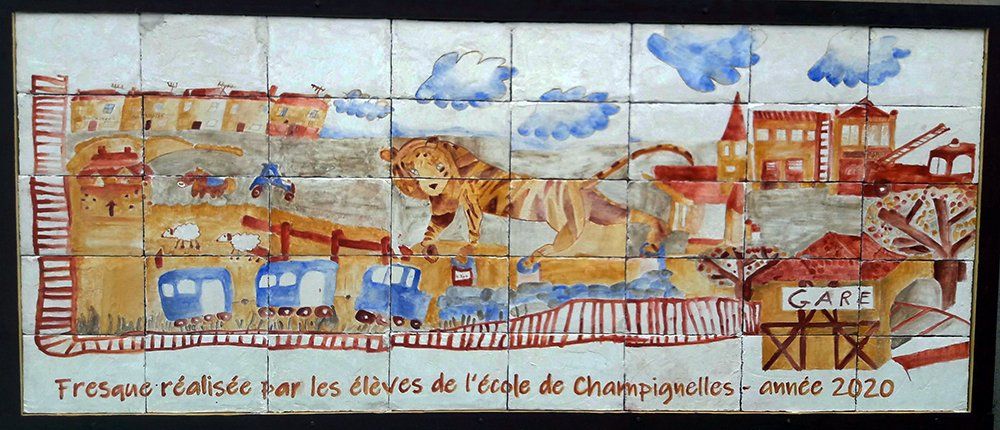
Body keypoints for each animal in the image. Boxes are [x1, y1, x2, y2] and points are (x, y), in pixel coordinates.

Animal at [381, 136, 694, 271]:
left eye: (437, 165)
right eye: (412, 169)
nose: (433, 184)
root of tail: (578, 184)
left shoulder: (468, 202)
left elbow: (471, 229)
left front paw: (462, 251)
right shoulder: (443, 206)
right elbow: (433, 229)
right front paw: (423, 247)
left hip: (569, 224)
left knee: (557, 247)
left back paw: (530, 259)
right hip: (605, 212)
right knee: (642, 215)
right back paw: (654, 240)